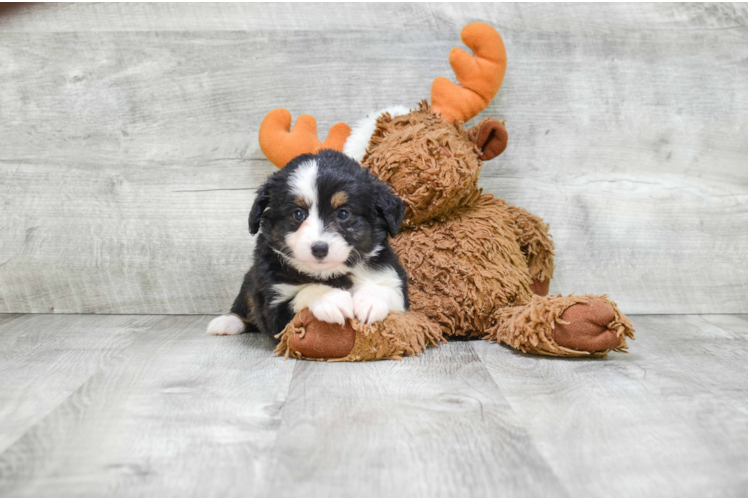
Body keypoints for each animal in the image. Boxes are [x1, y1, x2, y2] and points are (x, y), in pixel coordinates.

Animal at [206, 148, 410, 336]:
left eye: (343, 213)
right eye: (298, 214)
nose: (319, 249)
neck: (330, 275)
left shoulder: (394, 281)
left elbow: (387, 291)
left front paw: (370, 301)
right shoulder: (272, 306)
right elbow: (307, 291)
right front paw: (331, 299)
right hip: (250, 280)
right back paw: (226, 322)